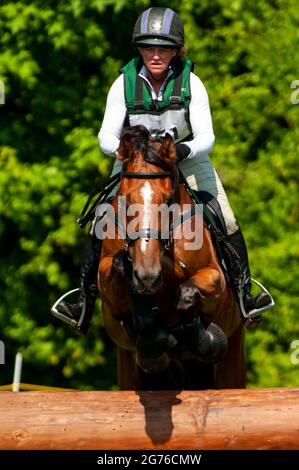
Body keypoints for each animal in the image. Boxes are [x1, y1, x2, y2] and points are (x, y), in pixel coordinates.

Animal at [98, 124, 246, 390]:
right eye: (126, 200)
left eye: (168, 200)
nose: (148, 276)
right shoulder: (109, 292)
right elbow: (119, 267)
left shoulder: (215, 278)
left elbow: (186, 294)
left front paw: (203, 339)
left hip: (232, 357)